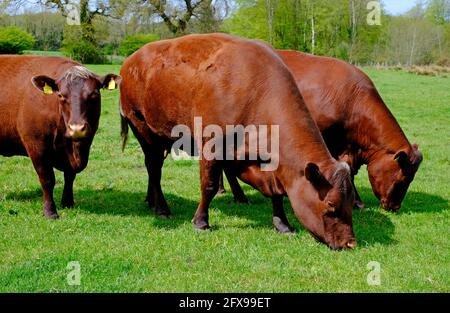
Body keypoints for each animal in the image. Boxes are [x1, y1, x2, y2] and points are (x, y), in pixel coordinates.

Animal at [0, 54, 121, 217]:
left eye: (94, 95)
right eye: (61, 95)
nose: (77, 128)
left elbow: (70, 176)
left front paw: (68, 202)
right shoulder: (36, 145)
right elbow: (47, 179)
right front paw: (50, 211)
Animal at [120, 33, 358, 249]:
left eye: (350, 203)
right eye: (330, 204)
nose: (350, 243)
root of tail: (131, 60)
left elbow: (277, 193)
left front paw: (282, 224)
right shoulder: (211, 145)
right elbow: (208, 185)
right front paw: (201, 222)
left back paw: (150, 200)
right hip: (142, 128)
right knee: (154, 168)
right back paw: (161, 208)